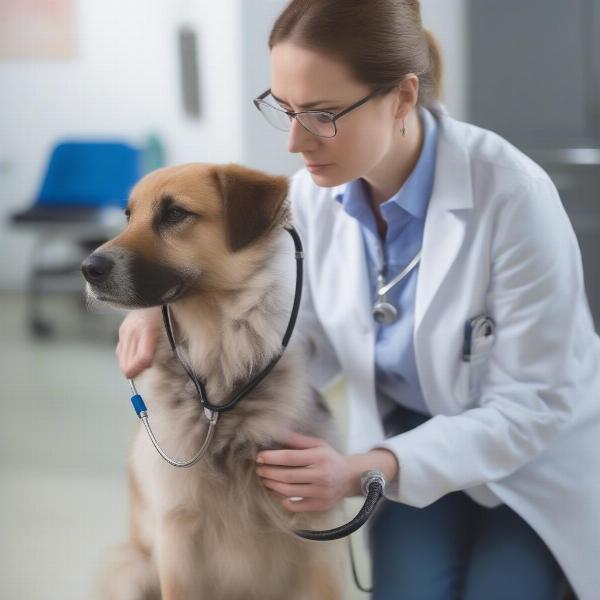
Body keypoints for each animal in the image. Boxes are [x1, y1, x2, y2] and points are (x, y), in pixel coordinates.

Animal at [80, 164, 344, 600]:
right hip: (130, 567)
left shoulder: (314, 545)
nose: (88, 268)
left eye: (174, 214)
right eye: (128, 216)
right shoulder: (178, 539)